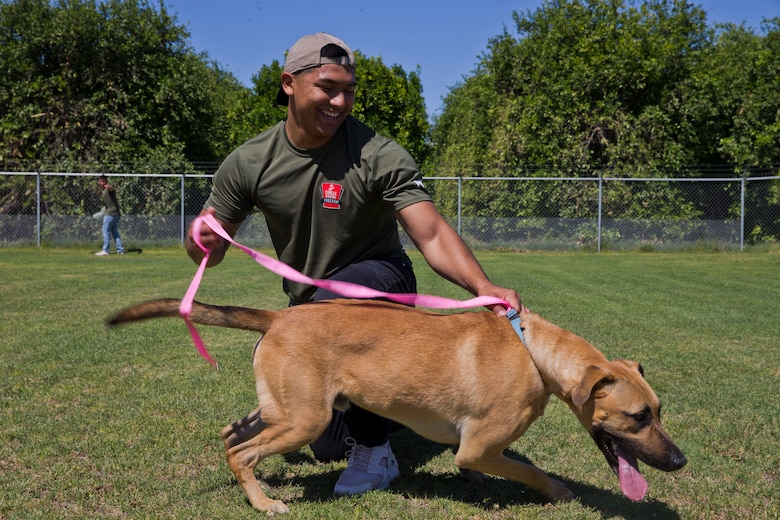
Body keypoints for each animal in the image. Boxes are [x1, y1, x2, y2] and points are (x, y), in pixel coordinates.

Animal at [108, 298, 684, 512]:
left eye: (660, 410)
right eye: (638, 416)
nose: (679, 460)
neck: (535, 354)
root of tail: (278, 316)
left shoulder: (476, 450)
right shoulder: (478, 446)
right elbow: (530, 470)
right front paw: (557, 491)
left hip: (281, 409)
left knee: (231, 434)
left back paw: (256, 484)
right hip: (306, 419)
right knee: (240, 452)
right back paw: (263, 502)